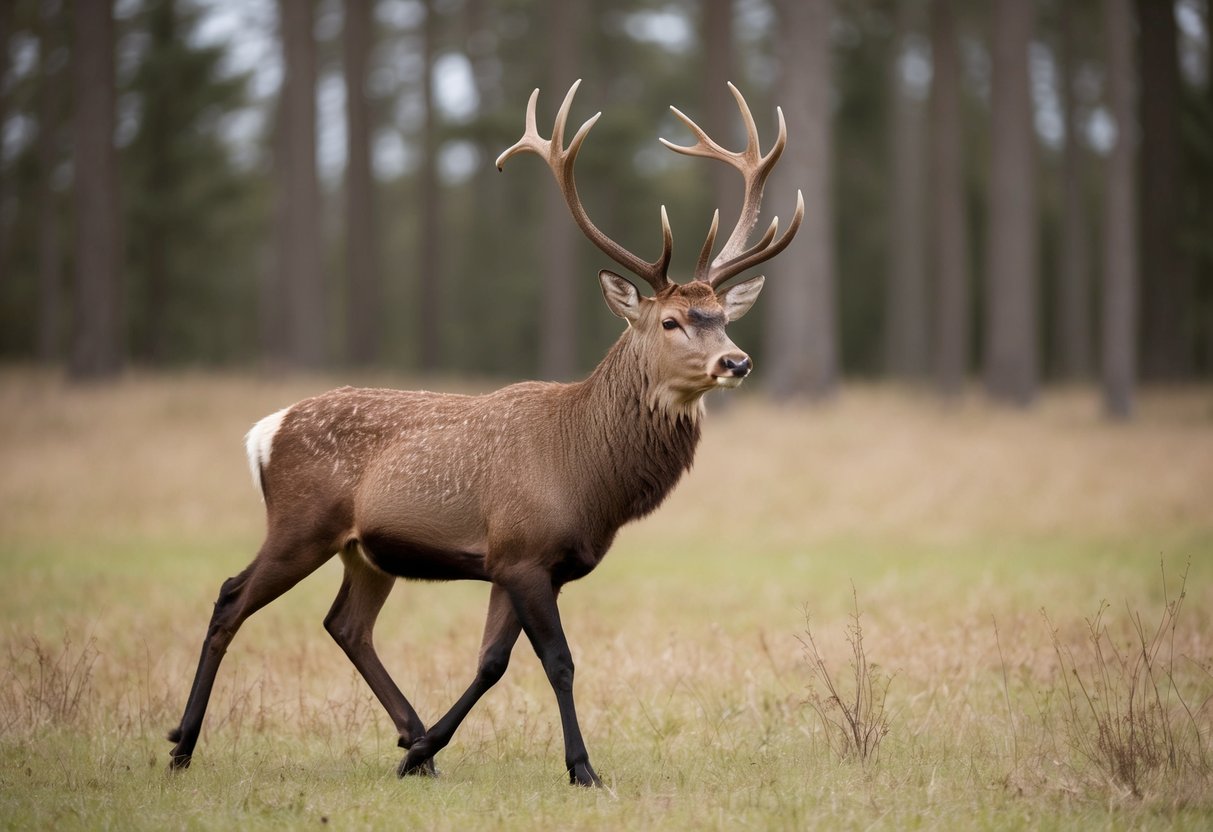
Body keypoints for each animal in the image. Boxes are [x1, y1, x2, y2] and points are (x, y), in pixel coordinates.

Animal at [166, 80, 802, 787]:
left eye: (720, 316)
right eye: (670, 321)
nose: (736, 362)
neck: (587, 477)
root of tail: (264, 432)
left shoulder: (517, 564)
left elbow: (491, 663)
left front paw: (422, 751)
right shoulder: (524, 552)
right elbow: (558, 662)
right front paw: (583, 768)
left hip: (364, 550)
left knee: (345, 625)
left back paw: (409, 737)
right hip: (300, 522)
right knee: (231, 599)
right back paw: (181, 744)